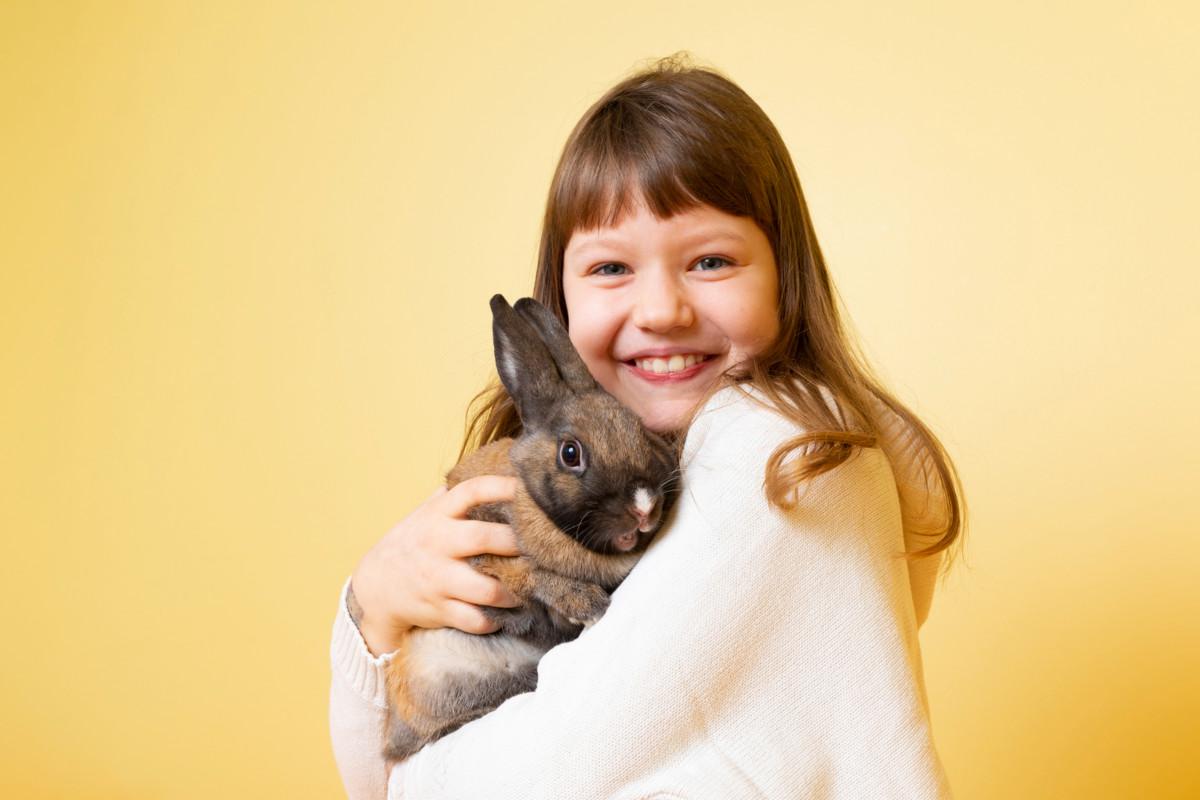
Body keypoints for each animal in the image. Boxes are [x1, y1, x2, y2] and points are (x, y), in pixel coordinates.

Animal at [384, 293, 686, 762]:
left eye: (640, 429)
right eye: (570, 453)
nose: (643, 505)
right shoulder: (482, 548)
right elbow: (531, 573)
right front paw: (586, 604)